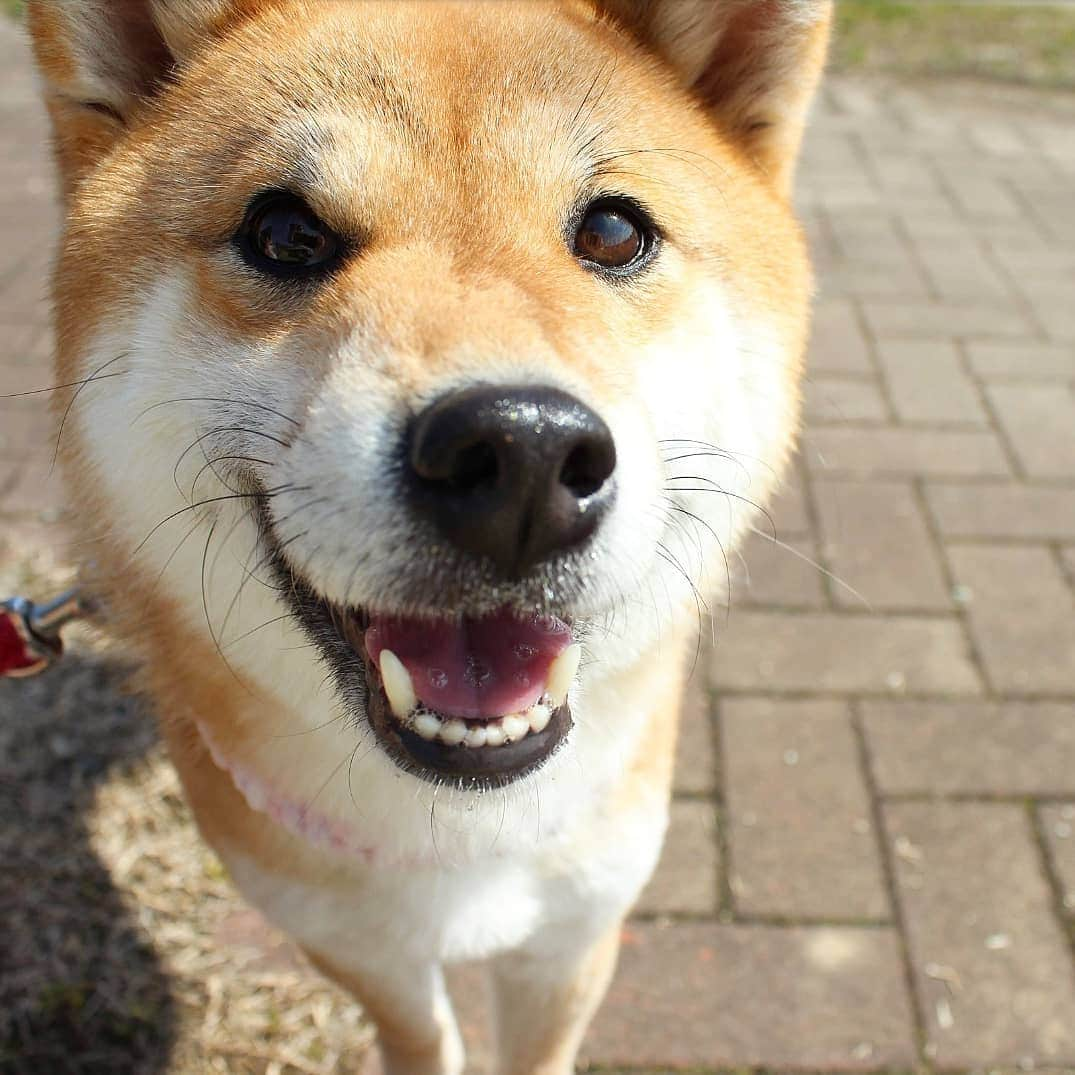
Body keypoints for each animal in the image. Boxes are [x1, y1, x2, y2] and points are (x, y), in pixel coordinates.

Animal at [25, 4, 829, 1070]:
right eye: (284, 234)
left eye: (615, 231)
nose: (521, 454)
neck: (462, 836)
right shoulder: (353, 944)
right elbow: (419, 1032)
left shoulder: (574, 934)